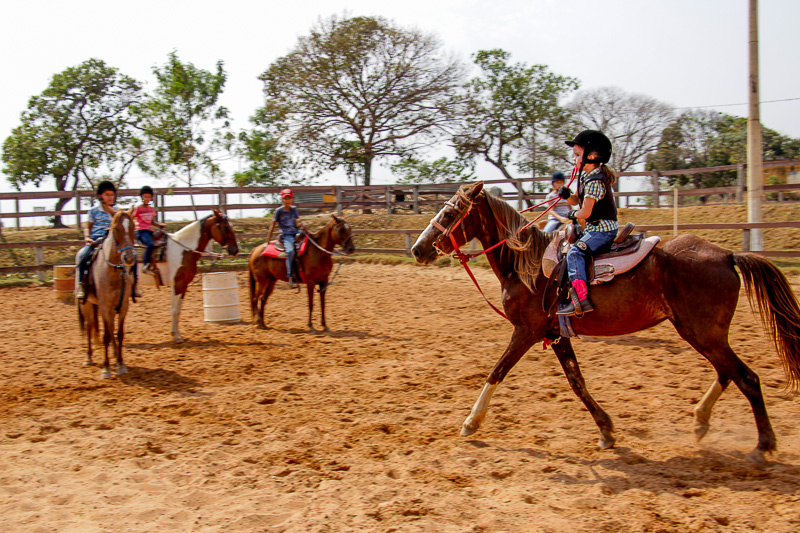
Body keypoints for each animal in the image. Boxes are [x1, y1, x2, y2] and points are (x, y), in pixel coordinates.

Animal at [77, 210, 138, 379]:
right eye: (116, 229)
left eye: (133, 228)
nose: (129, 257)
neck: (114, 271)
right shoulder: (105, 307)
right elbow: (105, 336)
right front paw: (106, 369)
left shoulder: (123, 306)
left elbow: (119, 334)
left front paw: (121, 364)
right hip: (87, 304)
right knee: (90, 327)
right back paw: (88, 358)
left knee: (109, 331)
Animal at [153, 209, 239, 342]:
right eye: (225, 227)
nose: (236, 250)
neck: (184, 250)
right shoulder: (177, 284)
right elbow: (174, 310)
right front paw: (175, 336)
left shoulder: (184, 285)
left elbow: (178, 310)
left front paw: (178, 334)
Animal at [411, 181, 800, 462]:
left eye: (451, 211)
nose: (418, 249)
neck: (528, 267)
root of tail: (726, 254)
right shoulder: (556, 334)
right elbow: (577, 383)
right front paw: (606, 431)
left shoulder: (526, 331)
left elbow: (496, 372)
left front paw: (470, 422)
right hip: (701, 332)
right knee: (727, 372)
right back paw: (702, 421)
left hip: (702, 332)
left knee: (746, 378)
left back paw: (762, 446)